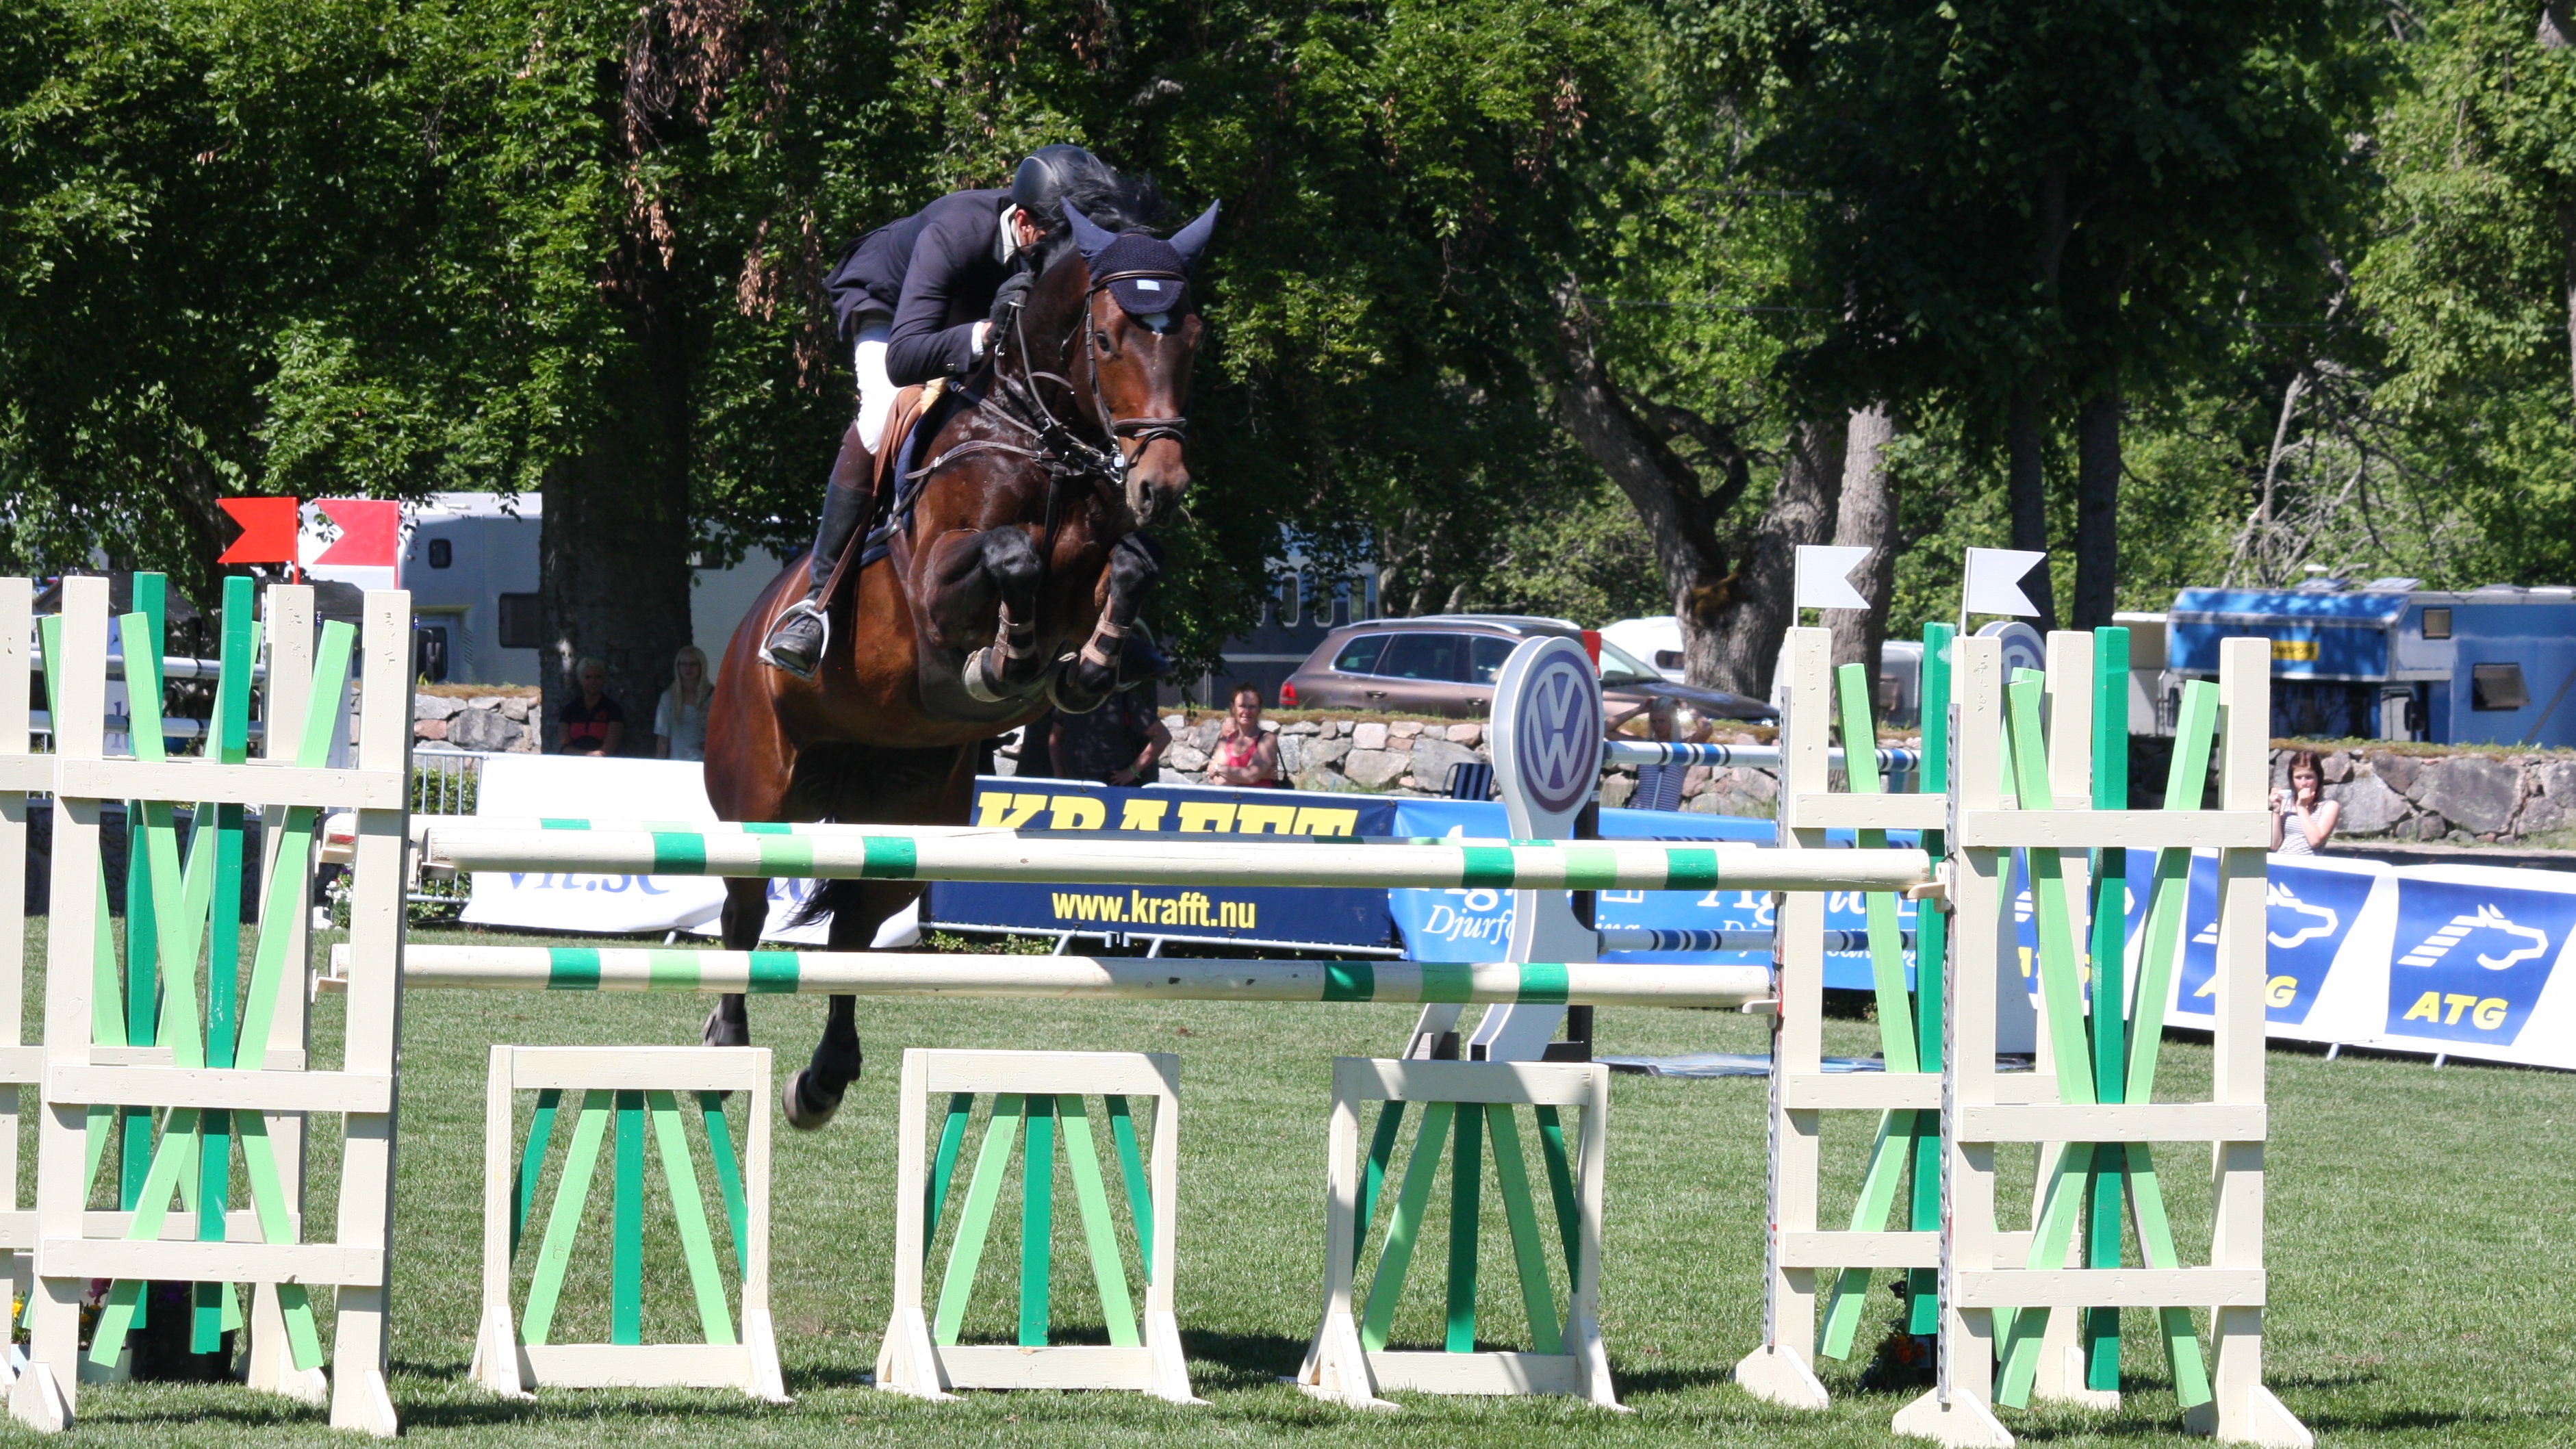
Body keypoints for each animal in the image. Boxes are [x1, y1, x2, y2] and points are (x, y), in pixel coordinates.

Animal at [700, 201, 1210, 1132]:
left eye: (1191, 336)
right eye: (1109, 337)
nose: (1160, 484)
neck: (1043, 442)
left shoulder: (1103, 558)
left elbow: (1129, 568)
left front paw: (1088, 666)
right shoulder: (935, 587)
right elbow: (1012, 557)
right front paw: (1004, 660)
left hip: (908, 814)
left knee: (853, 930)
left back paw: (821, 1078)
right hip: (759, 790)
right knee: (744, 914)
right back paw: (725, 1049)